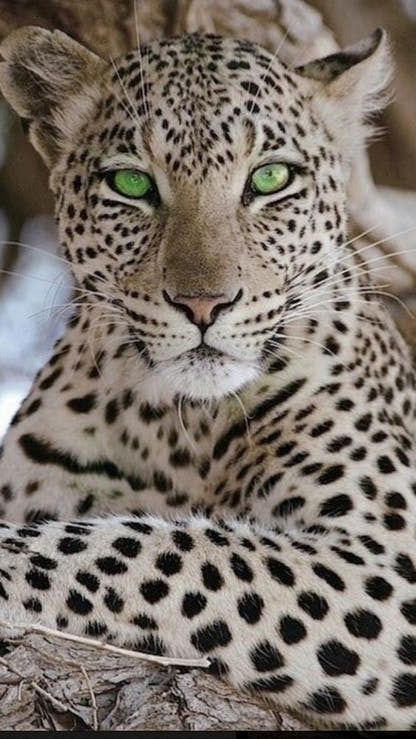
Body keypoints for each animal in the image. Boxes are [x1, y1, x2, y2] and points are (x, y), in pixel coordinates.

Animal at [0, 23, 415, 730]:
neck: (176, 425)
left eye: (270, 178)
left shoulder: (387, 562)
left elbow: (158, 550)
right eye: (132, 184)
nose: (202, 304)